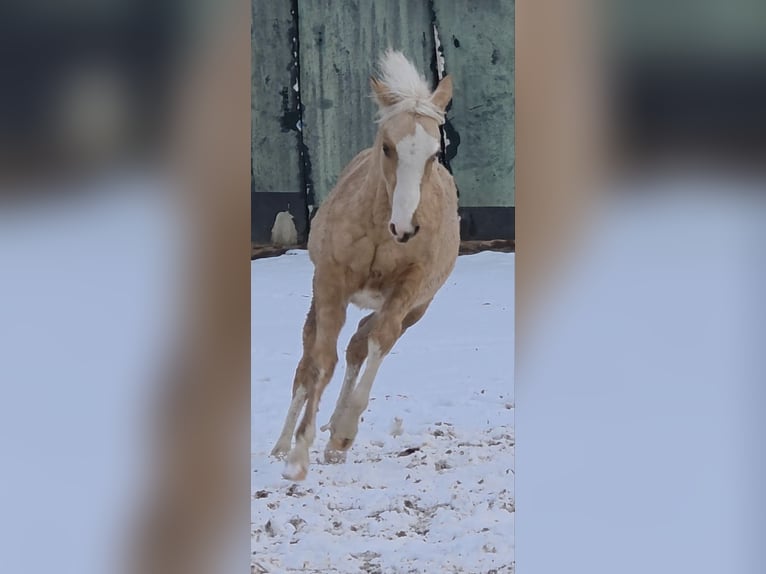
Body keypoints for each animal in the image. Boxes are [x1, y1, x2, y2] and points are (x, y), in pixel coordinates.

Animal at [271, 50, 460, 481]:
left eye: (433, 153)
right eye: (387, 146)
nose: (406, 227)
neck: (379, 230)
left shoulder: (409, 288)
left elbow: (378, 341)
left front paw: (340, 437)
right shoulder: (330, 284)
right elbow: (320, 362)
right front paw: (297, 456)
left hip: (415, 310)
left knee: (360, 342)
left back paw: (334, 434)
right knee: (306, 366)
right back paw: (280, 446)